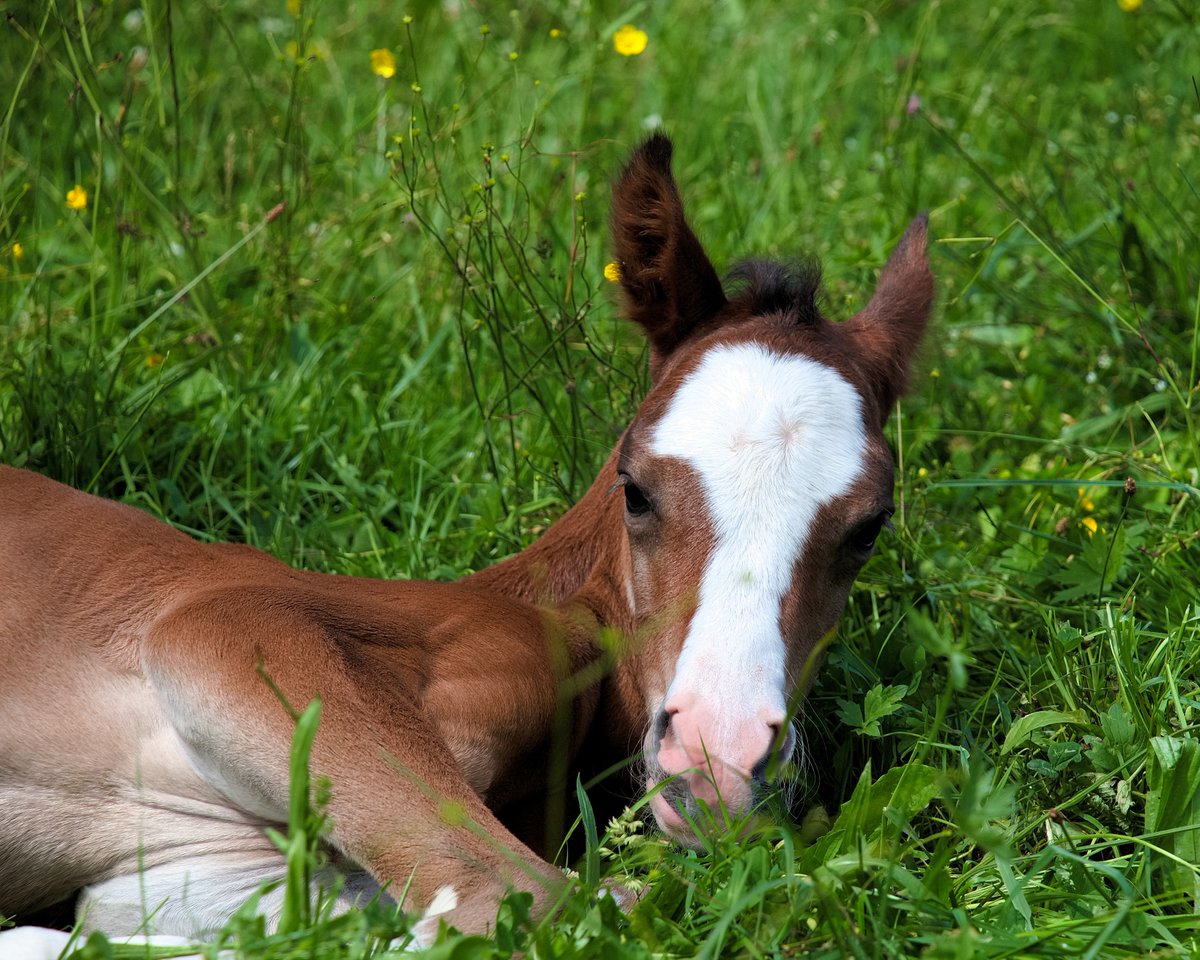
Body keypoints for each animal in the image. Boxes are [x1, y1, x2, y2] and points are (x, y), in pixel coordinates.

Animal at [0, 133, 933, 950]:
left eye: (868, 528)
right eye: (636, 490)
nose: (718, 758)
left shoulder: (188, 884)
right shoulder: (230, 632)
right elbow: (544, 903)